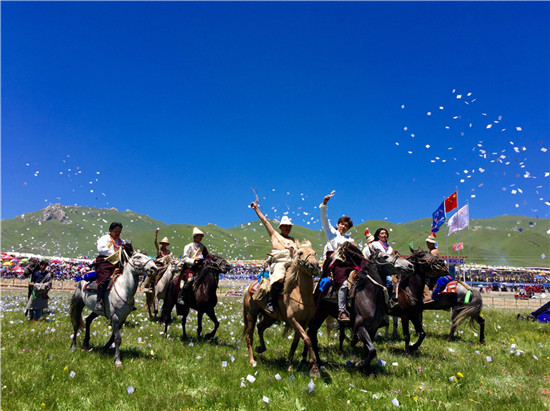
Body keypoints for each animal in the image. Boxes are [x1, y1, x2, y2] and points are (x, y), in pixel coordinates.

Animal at [243, 243, 324, 378]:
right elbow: (307, 339)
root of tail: (249, 286)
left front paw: (290, 365)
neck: (302, 295)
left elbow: (296, 342)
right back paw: (252, 361)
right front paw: (314, 369)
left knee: (260, 327)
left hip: (270, 317)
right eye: (300, 253)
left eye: (314, 253)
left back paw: (261, 348)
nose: (314, 266)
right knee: (249, 336)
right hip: (251, 315)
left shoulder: (304, 322)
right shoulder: (293, 320)